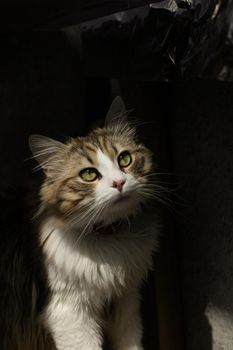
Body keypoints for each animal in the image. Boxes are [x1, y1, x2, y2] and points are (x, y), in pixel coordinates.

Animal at [0, 96, 158, 350]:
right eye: (89, 174)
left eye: (125, 159)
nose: (119, 182)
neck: (110, 237)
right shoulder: (69, 312)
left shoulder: (126, 300)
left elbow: (130, 342)